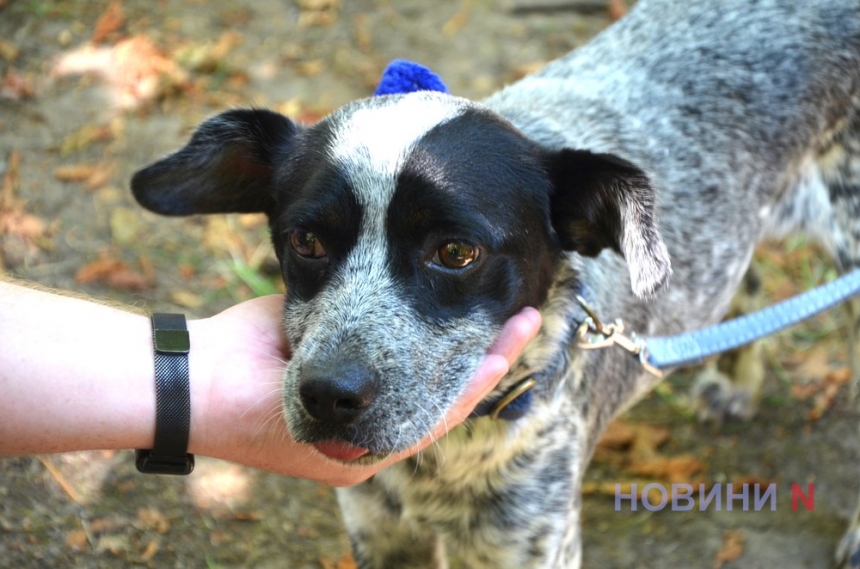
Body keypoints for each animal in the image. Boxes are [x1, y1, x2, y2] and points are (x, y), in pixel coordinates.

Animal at [131, 1, 860, 564]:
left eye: (457, 252)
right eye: (305, 241)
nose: (328, 396)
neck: (443, 460)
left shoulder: (527, 542)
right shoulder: (379, 530)